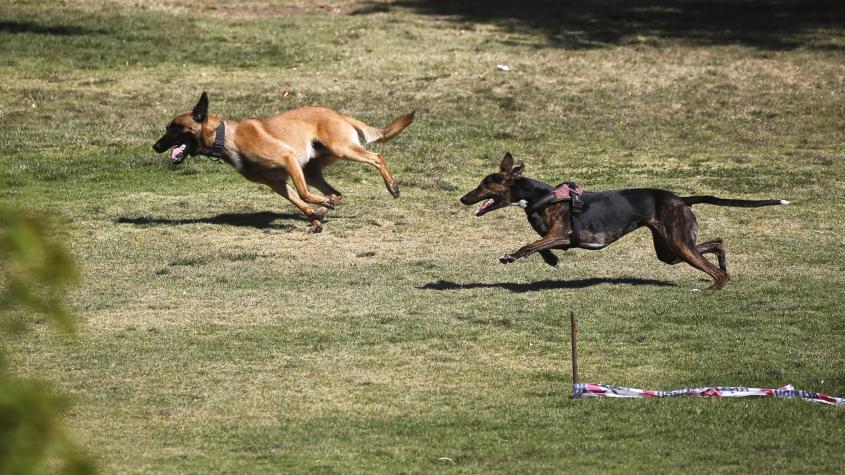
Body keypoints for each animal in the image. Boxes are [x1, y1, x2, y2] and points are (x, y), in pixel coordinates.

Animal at [156, 92, 416, 232]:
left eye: (175, 127)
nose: (155, 146)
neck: (226, 137)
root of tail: (339, 114)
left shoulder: (288, 159)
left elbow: (303, 194)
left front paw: (319, 210)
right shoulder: (277, 184)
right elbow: (300, 201)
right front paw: (315, 219)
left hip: (341, 149)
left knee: (377, 157)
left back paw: (392, 187)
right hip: (311, 170)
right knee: (337, 192)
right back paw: (325, 208)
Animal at [458, 155, 788, 290]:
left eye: (486, 184)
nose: (463, 198)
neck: (542, 196)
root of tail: (681, 199)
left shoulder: (563, 233)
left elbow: (530, 245)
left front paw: (511, 256)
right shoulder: (554, 235)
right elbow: (540, 246)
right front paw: (551, 260)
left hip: (678, 244)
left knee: (716, 272)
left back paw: (712, 287)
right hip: (670, 250)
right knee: (717, 242)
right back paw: (722, 263)